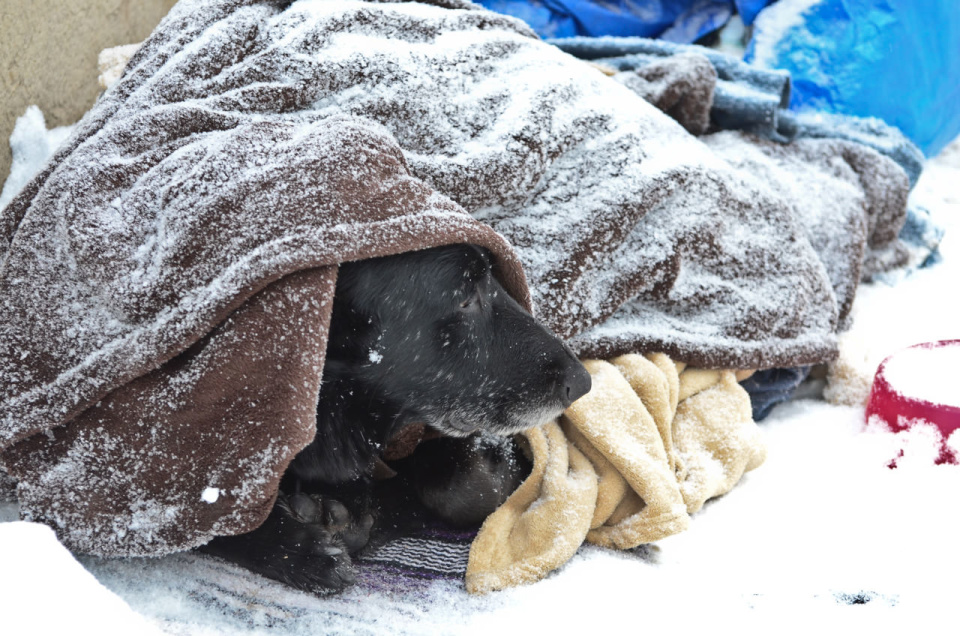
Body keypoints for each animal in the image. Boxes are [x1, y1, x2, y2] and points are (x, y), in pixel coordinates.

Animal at [206, 243, 588, 592]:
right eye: (465, 298)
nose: (583, 382)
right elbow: (220, 524)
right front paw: (301, 550)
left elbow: (464, 487)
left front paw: (357, 516)